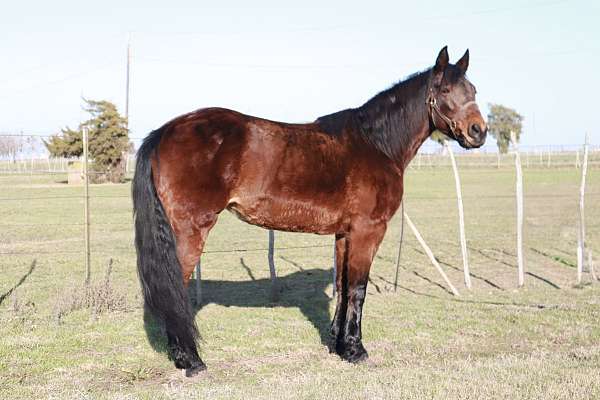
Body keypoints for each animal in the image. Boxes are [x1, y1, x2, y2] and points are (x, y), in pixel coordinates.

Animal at [132, 46, 488, 376]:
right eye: (445, 90)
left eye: (473, 90)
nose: (478, 132)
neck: (376, 144)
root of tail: (165, 131)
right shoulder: (368, 231)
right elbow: (358, 289)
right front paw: (357, 351)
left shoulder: (345, 234)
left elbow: (343, 286)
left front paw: (339, 345)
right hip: (191, 229)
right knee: (176, 288)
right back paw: (191, 361)